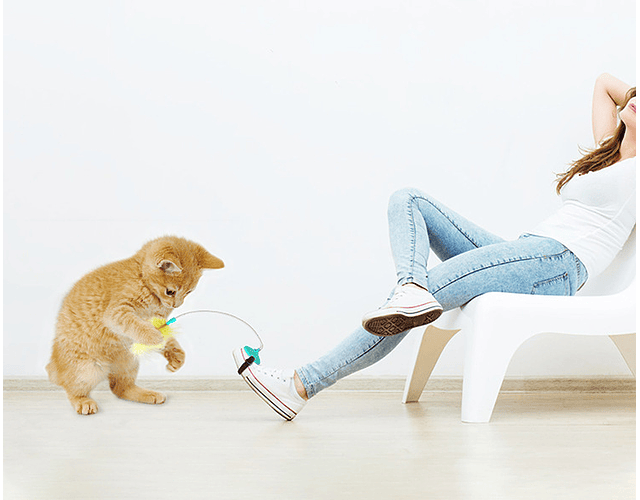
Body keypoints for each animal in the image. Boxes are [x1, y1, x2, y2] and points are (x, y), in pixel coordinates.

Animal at [46, 236, 224, 415]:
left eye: (188, 292)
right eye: (170, 291)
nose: (177, 305)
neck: (142, 279)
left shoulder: (157, 319)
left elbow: (166, 336)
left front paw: (175, 355)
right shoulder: (116, 312)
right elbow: (136, 324)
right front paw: (154, 336)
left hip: (128, 362)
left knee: (120, 387)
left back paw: (148, 394)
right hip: (87, 368)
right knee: (72, 387)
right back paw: (83, 401)